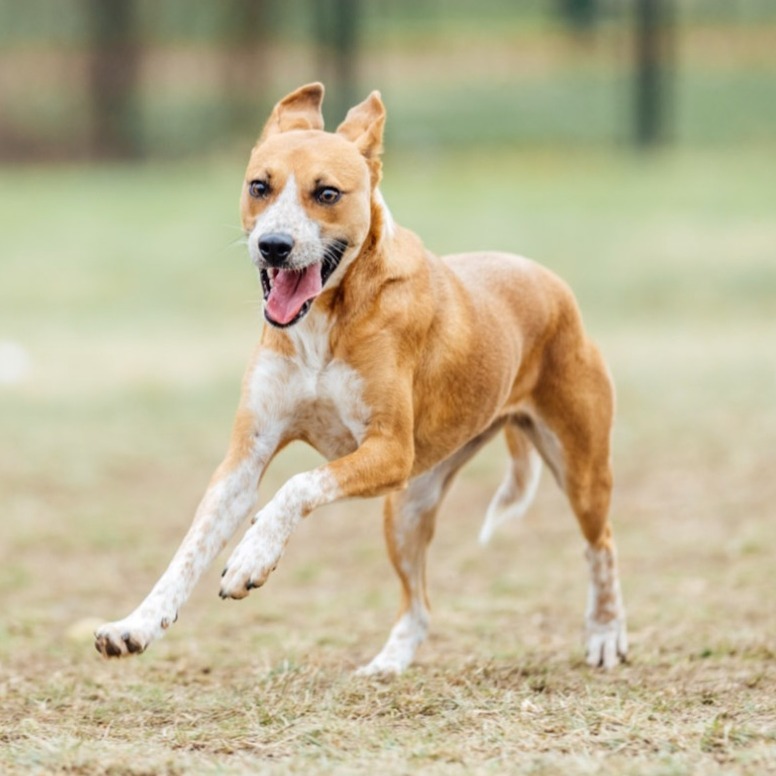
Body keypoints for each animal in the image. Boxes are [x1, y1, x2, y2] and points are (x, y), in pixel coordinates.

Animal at [94, 82, 628, 668]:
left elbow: (299, 484)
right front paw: (138, 623)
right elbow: (190, 548)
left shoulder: (387, 450)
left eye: (327, 193)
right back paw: (388, 665)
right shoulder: (245, 459)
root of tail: (551, 283)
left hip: (579, 469)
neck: (324, 321)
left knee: (601, 546)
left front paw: (252, 556)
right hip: (407, 507)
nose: (273, 245)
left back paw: (605, 633)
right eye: (260, 186)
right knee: (419, 605)